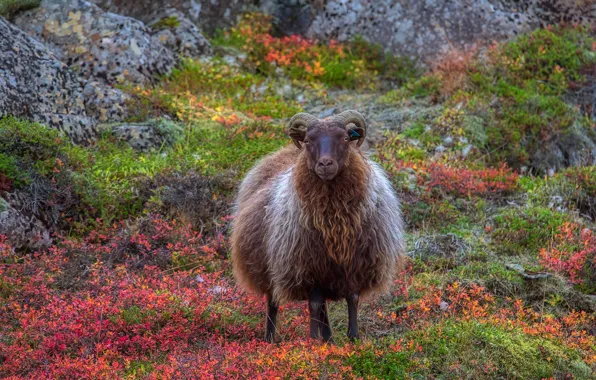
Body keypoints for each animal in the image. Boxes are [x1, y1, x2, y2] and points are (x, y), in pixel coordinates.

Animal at [229, 110, 406, 344]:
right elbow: (313, 304)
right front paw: (312, 341)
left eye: (345, 138)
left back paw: (329, 339)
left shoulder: (355, 264)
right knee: (274, 303)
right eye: (308, 141)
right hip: (269, 267)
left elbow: (352, 299)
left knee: (323, 309)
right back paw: (270, 338)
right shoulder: (307, 265)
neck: (335, 223)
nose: (325, 164)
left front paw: (353, 338)